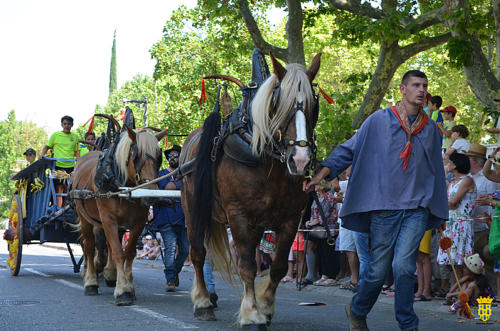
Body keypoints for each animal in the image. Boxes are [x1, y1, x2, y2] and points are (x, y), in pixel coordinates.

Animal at [71, 126, 167, 306]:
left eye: (159, 155)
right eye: (135, 153)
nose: (150, 192)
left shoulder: (139, 222)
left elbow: (128, 252)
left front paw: (129, 286)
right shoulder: (109, 220)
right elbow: (117, 252)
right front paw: (122, 290)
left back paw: (108, 273)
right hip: (85, 218)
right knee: (89, 247)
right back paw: (91, 282)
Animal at [182, 53, 322, 330]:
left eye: (315, 105)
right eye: (279, 104)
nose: (300, 160)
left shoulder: (291, 219)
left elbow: (277, 267)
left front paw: (265, 308)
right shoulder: (239, 215)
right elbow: (246, 266)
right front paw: (251, 315)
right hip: (193, 209)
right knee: (198, 253)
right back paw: (203, 302)